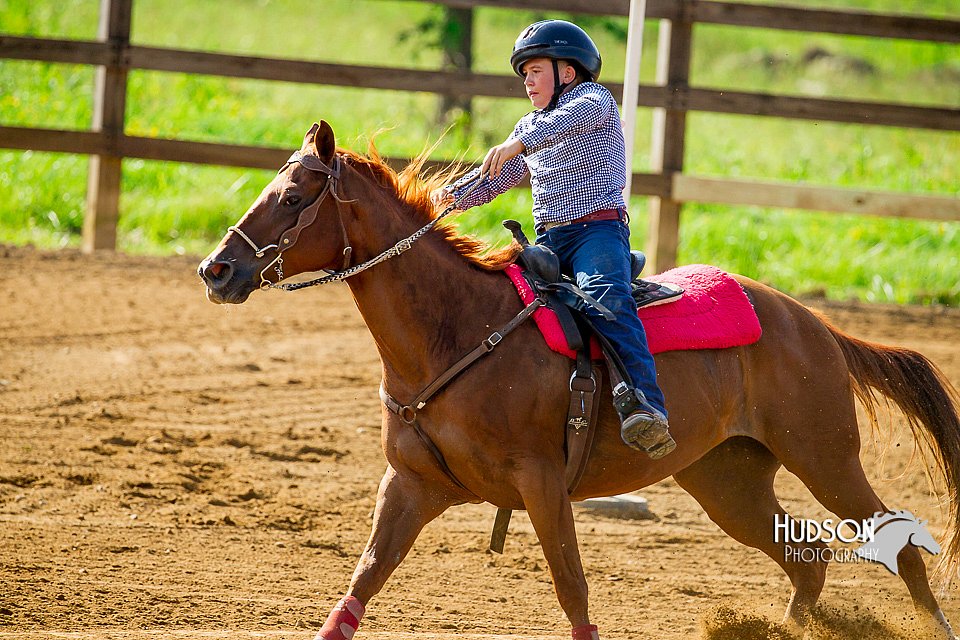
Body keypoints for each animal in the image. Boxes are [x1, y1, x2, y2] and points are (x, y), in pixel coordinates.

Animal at [199, 121, 960, 640]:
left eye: (291, 196)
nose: (216, 269)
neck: (458, 330)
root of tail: (812, 322)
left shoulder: (541, 483)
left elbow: (572, 588)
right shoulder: (410, 484)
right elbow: (362, 580)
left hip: (826, 457)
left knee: (897, 547)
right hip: (728, 481)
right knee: (807, 562)